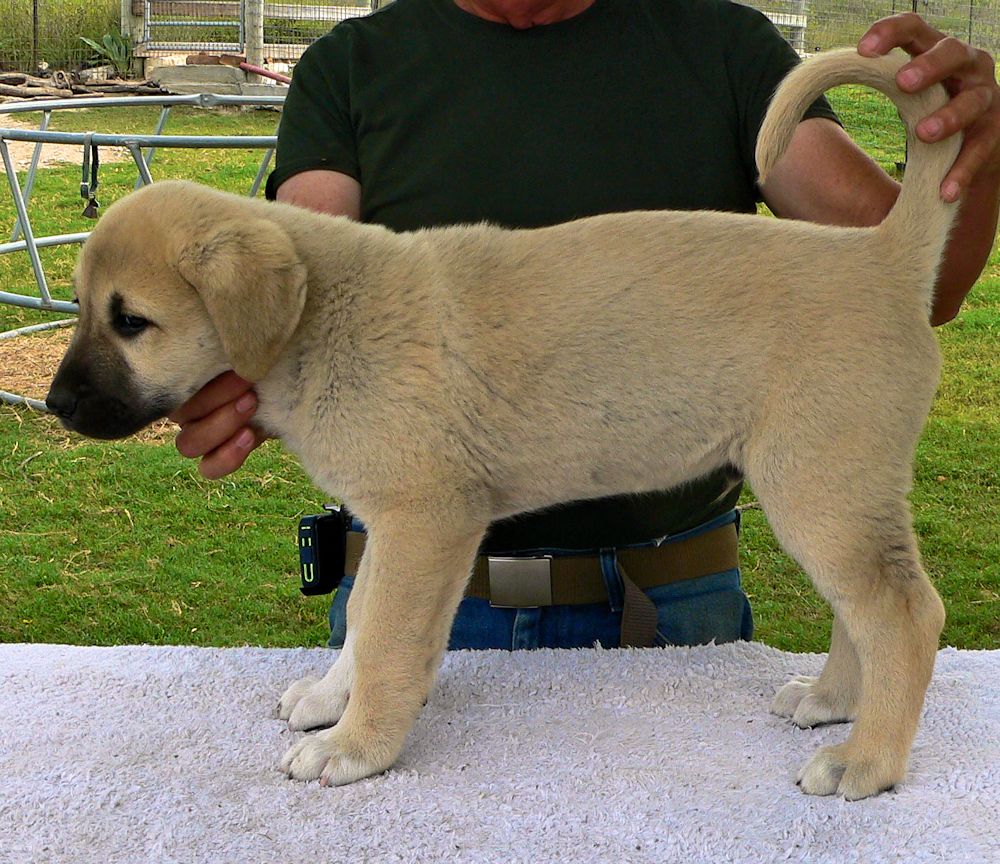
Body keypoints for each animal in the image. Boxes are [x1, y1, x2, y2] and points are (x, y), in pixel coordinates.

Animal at [45, 50, 960, 800]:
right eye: (84, 307)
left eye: (131, 322)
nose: (56, 405)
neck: (325, 316)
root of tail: (883, 257)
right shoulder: (389, 523)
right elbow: (364, 619)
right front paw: (331, 700)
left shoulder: (427, 521)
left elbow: (388, 640)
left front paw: (356, 746)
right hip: (832, 491)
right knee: (865, 612)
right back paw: (831, 701)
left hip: (821, 486)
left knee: (905, 616)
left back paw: (867, 761)